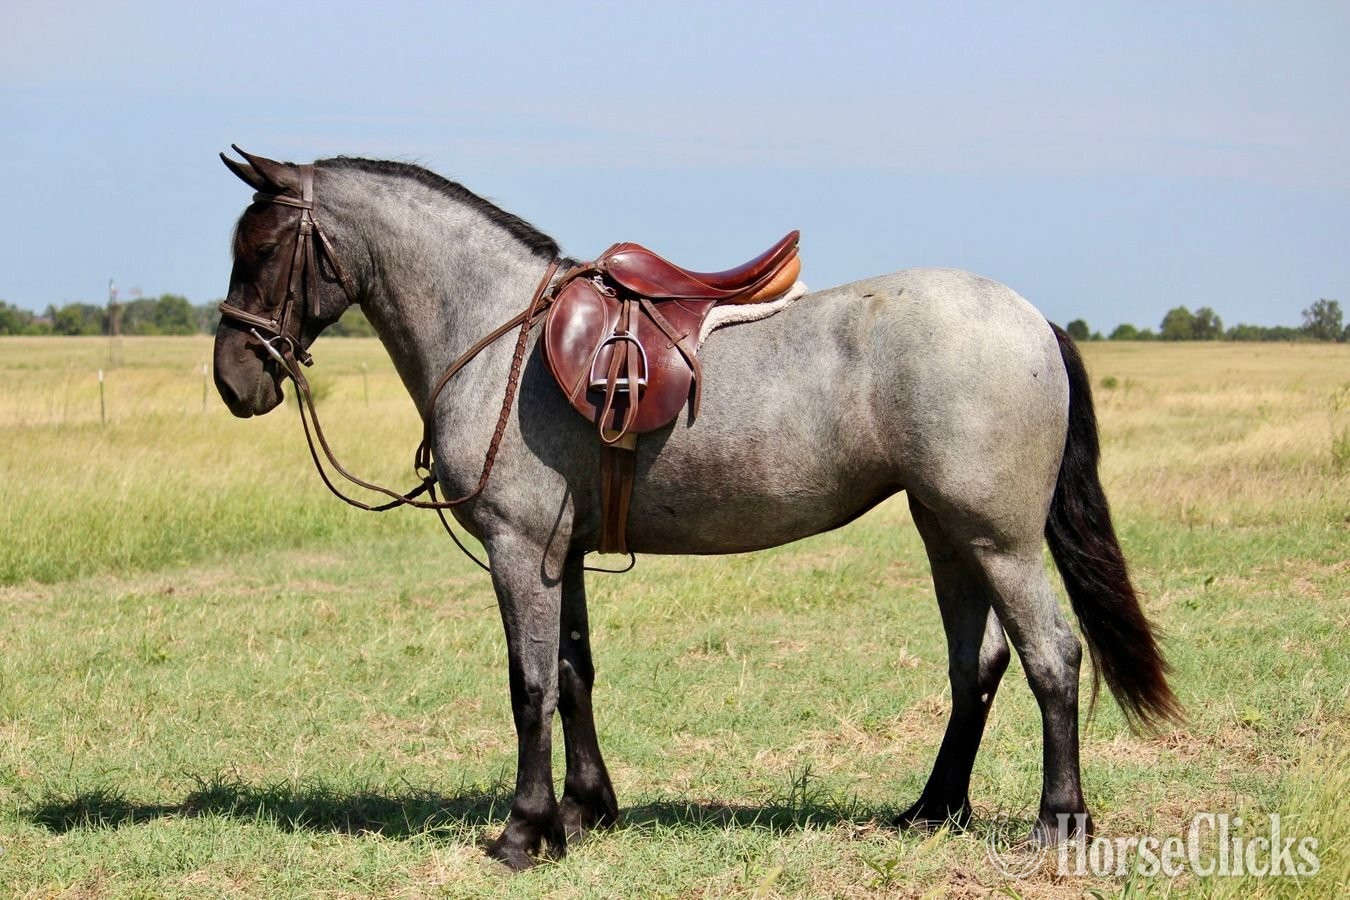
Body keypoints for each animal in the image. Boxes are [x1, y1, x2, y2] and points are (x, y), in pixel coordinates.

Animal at [212, 148, 1180, 870]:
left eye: (261, 250)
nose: (233, 379)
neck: (500, 334)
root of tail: (1030, 319)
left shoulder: (519, 552)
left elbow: (529, 685)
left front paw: (525, 834)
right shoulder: (562, 555)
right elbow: (574, 675)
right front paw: (587, 811)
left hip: (999, 540)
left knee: (1052, 657)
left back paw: (1059, 821)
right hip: (948, 534)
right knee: (976, 666)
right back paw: (934, 810)